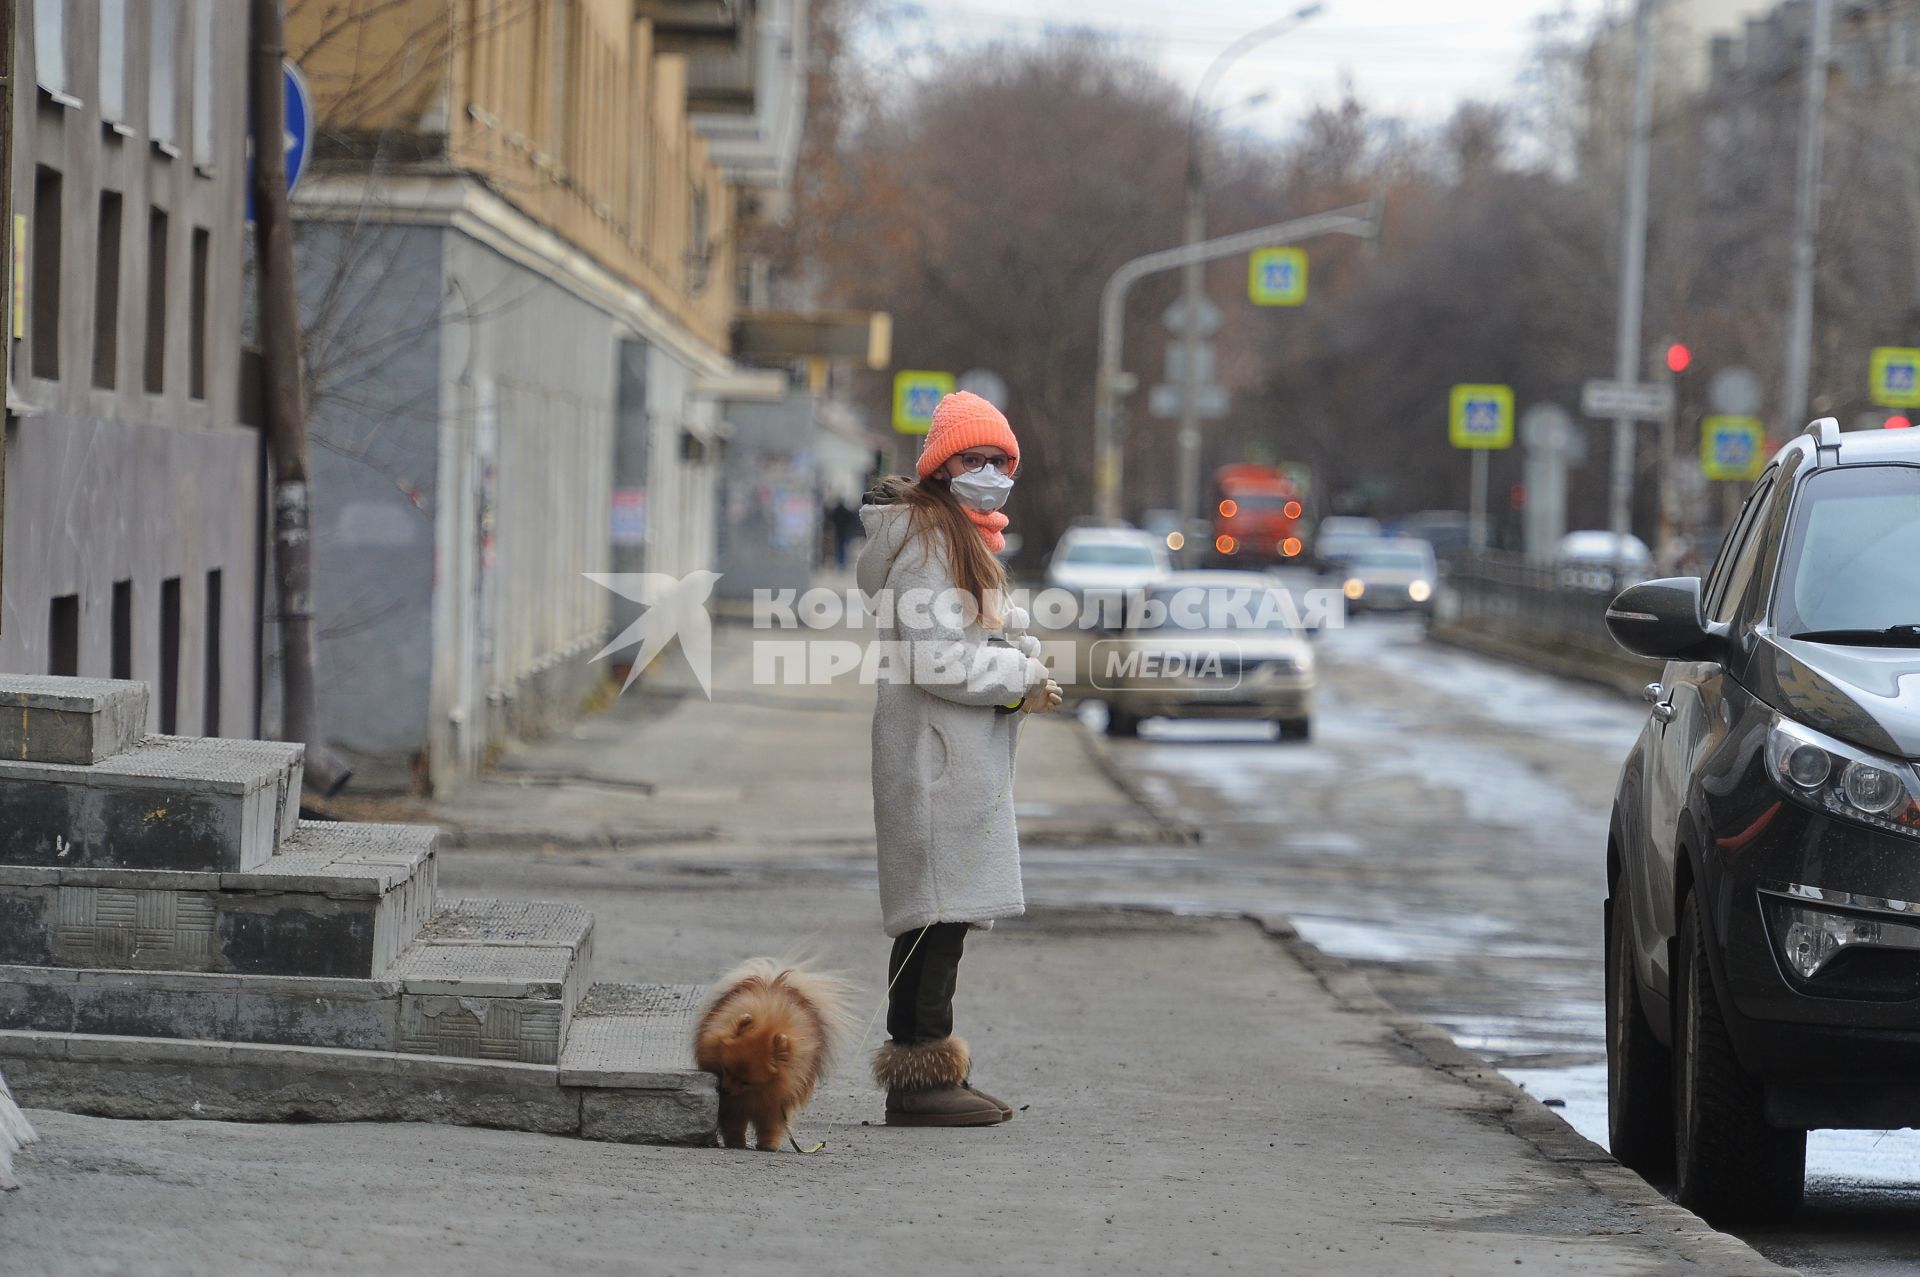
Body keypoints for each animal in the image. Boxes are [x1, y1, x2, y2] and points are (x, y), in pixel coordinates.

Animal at [695, 960, 852, 1152]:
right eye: (726, 1069)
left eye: (746, 1082)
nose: (725, 1090)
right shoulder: (732, 1104)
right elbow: (735, 1123)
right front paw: (736, 1142)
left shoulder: (775, 1103)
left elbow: (770, 1124)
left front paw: (768, 1144)